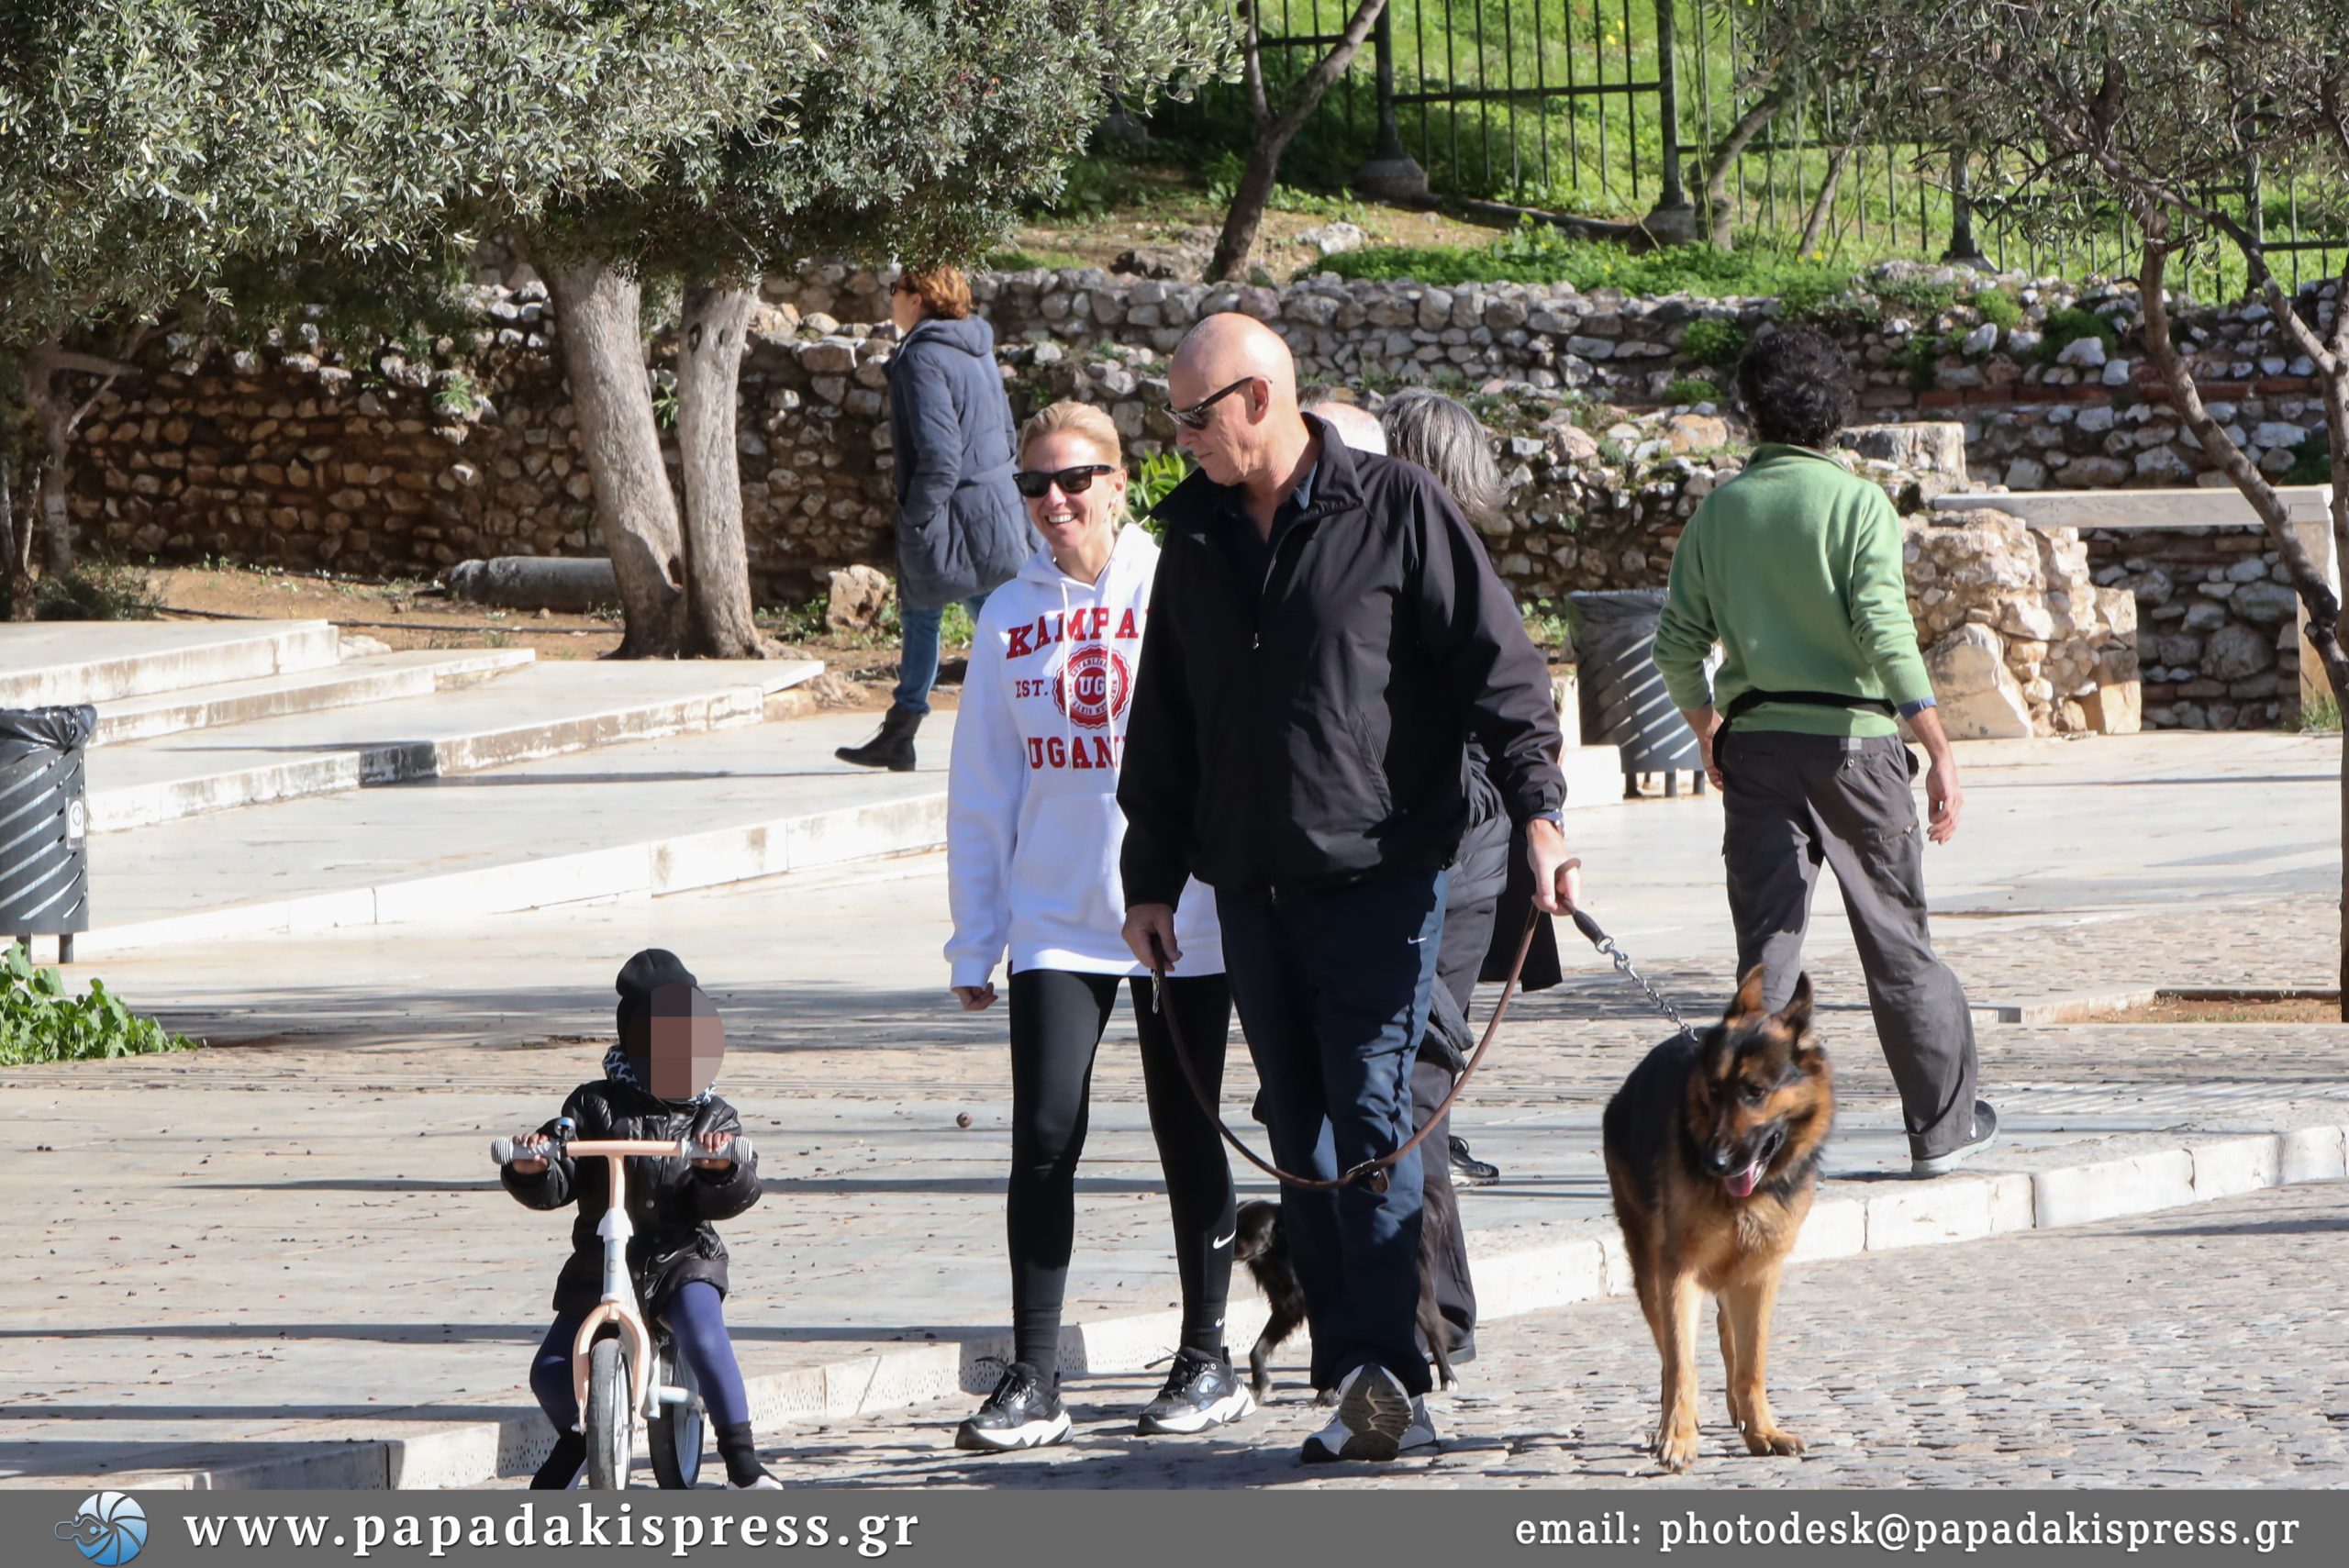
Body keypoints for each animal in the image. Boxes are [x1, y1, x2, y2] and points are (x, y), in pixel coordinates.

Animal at [1221, 1183, 1456, 1398]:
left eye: (1246, 1232)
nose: (1224, 1244)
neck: (1280, 1253)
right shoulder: (1287, 1309)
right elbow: (1258, 1349)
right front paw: (1261, 1383)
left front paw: (1326, 1392)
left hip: (1415, 1298)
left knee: (1434, 1330)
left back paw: (1447, 1377)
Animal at [1597, 967, 1831, 1473]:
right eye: (1714, 1092)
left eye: (1755, 1093)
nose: (1715, 1162)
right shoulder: (1678, 1272)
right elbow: (1681, 1361)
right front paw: (1678, 1436)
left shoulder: (1760, 1275)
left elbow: (1752, 1361)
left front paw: (1762, 1429)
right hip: (1650, 1270)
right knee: (1670, 1354)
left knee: (1729, 1339)